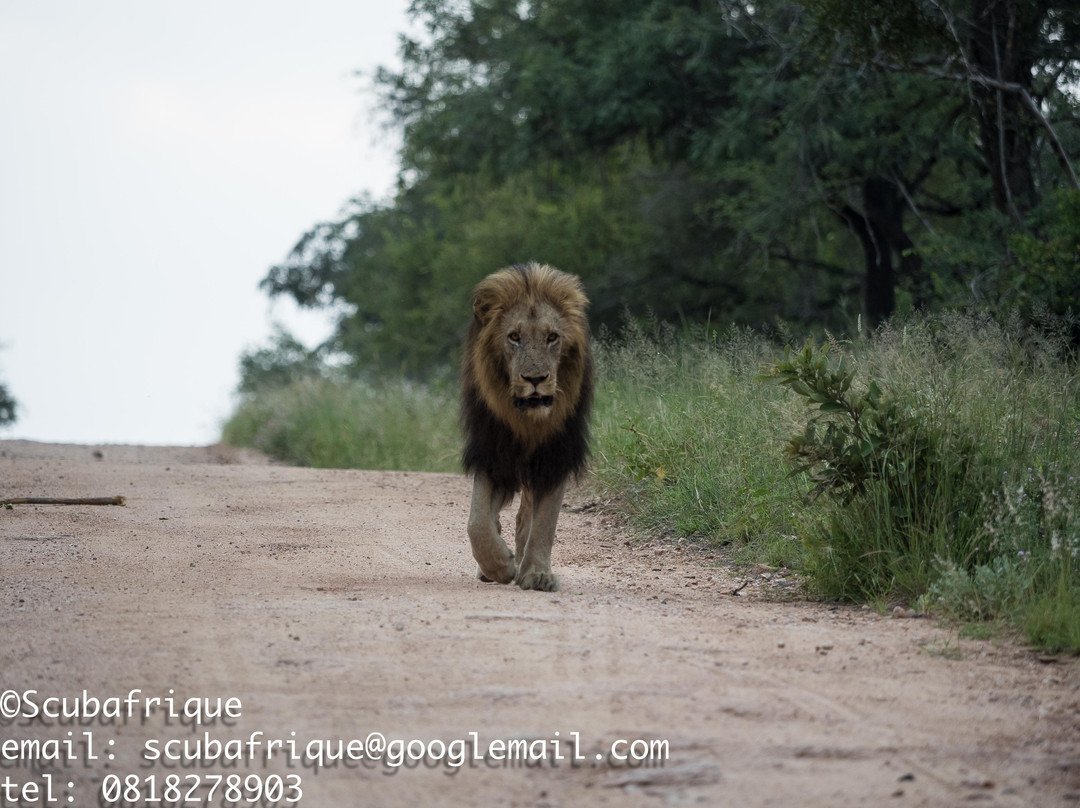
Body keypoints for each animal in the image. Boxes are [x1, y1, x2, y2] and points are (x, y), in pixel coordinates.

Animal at [455, 262, 591, 591]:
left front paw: (537, 573)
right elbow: (477, 522)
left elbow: (545, 523)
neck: (527, 422)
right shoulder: (491, 453)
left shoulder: (556, 456)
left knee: (525, 518)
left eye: (552, 337)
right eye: (514, 337)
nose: (535, 379)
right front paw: (500, 565)